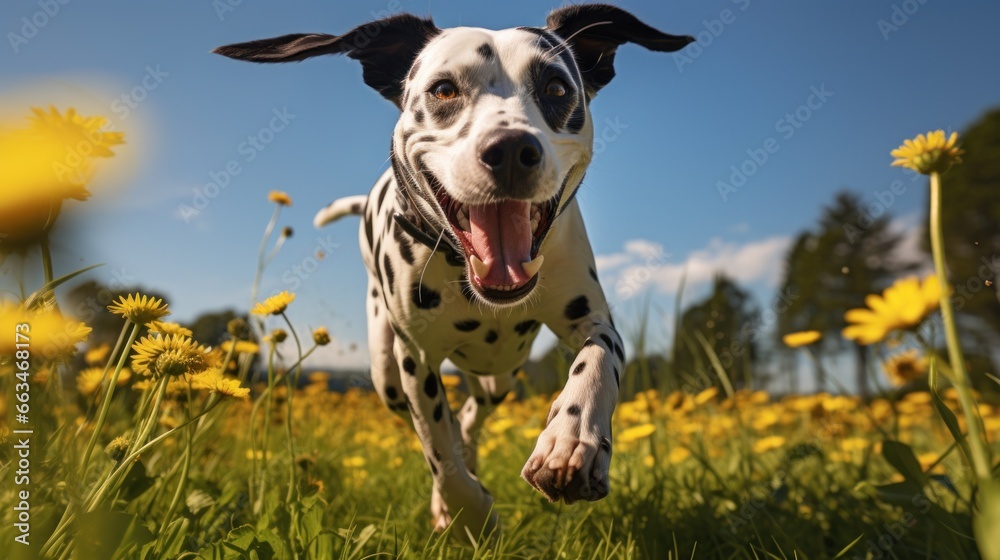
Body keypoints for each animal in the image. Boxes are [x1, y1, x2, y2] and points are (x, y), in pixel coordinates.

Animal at [215, 3, 692, 540]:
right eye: (444, 89)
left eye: (556, 88)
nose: (511, 149)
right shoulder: (415, 362)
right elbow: (439, 452)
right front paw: (468, 514)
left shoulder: (589, 318)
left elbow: (599, 358)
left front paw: (572, 440)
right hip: (386, 373)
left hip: (501, 373)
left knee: (474, 412)